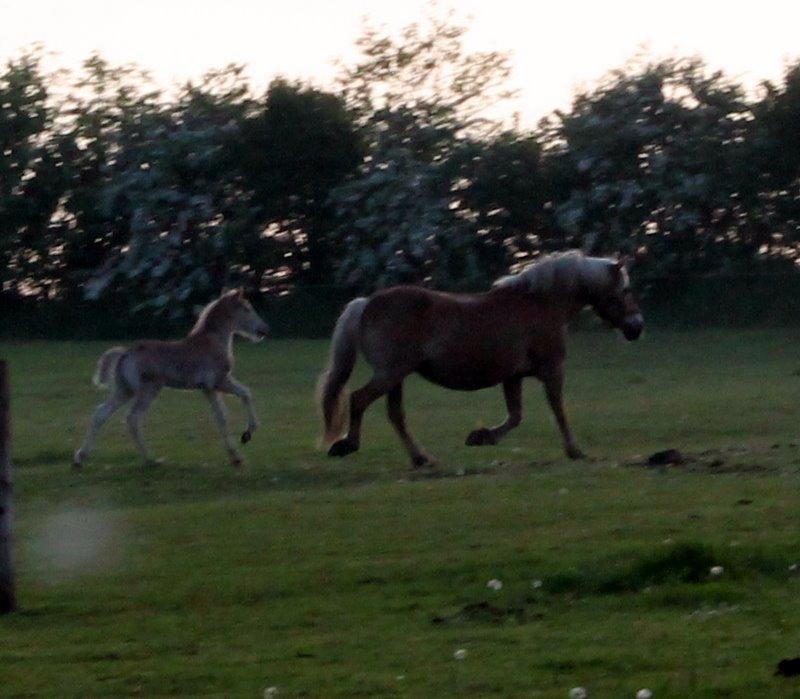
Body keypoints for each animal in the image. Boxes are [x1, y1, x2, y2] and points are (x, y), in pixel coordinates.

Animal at [75, 290, 268, 470]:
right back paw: (151, 460)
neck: (213, 342)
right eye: (247, 308)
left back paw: (80, 459)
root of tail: (125, 353)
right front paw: (247, 434)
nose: (264, 330)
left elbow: (221, 416)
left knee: (100, 413)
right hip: (148, 389)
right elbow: (245, 394)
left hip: (125, 390)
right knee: (133, 418)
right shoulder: (219, 381)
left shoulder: (208, 388)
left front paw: (236, 457)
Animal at [318, 249, 644, 468]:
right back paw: (347, 445)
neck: (540, 303)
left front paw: (481, 436)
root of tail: (367, 304)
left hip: (395, 377)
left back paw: (422, 458)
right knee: (359, 400)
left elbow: (515, 416)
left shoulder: (513, 377)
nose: (637, 327)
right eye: (626, 289)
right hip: (390, 373)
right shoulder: (552, 370)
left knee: (395, 415)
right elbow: (558, 411)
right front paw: (575, 451)